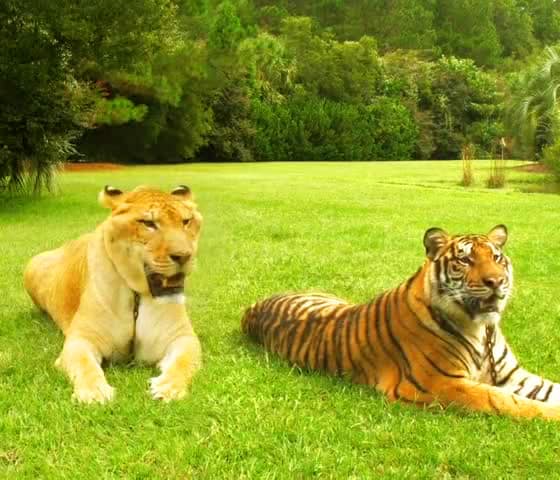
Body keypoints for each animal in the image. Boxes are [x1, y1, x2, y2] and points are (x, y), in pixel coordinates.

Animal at [242, 225, 560, 420]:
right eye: (465, 261)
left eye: (496, 257)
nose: (497, 281)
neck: (482, 329)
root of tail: (253, 307)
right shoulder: (440, 383)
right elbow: (504, 401)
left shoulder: (511, 375)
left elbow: (548, 389)